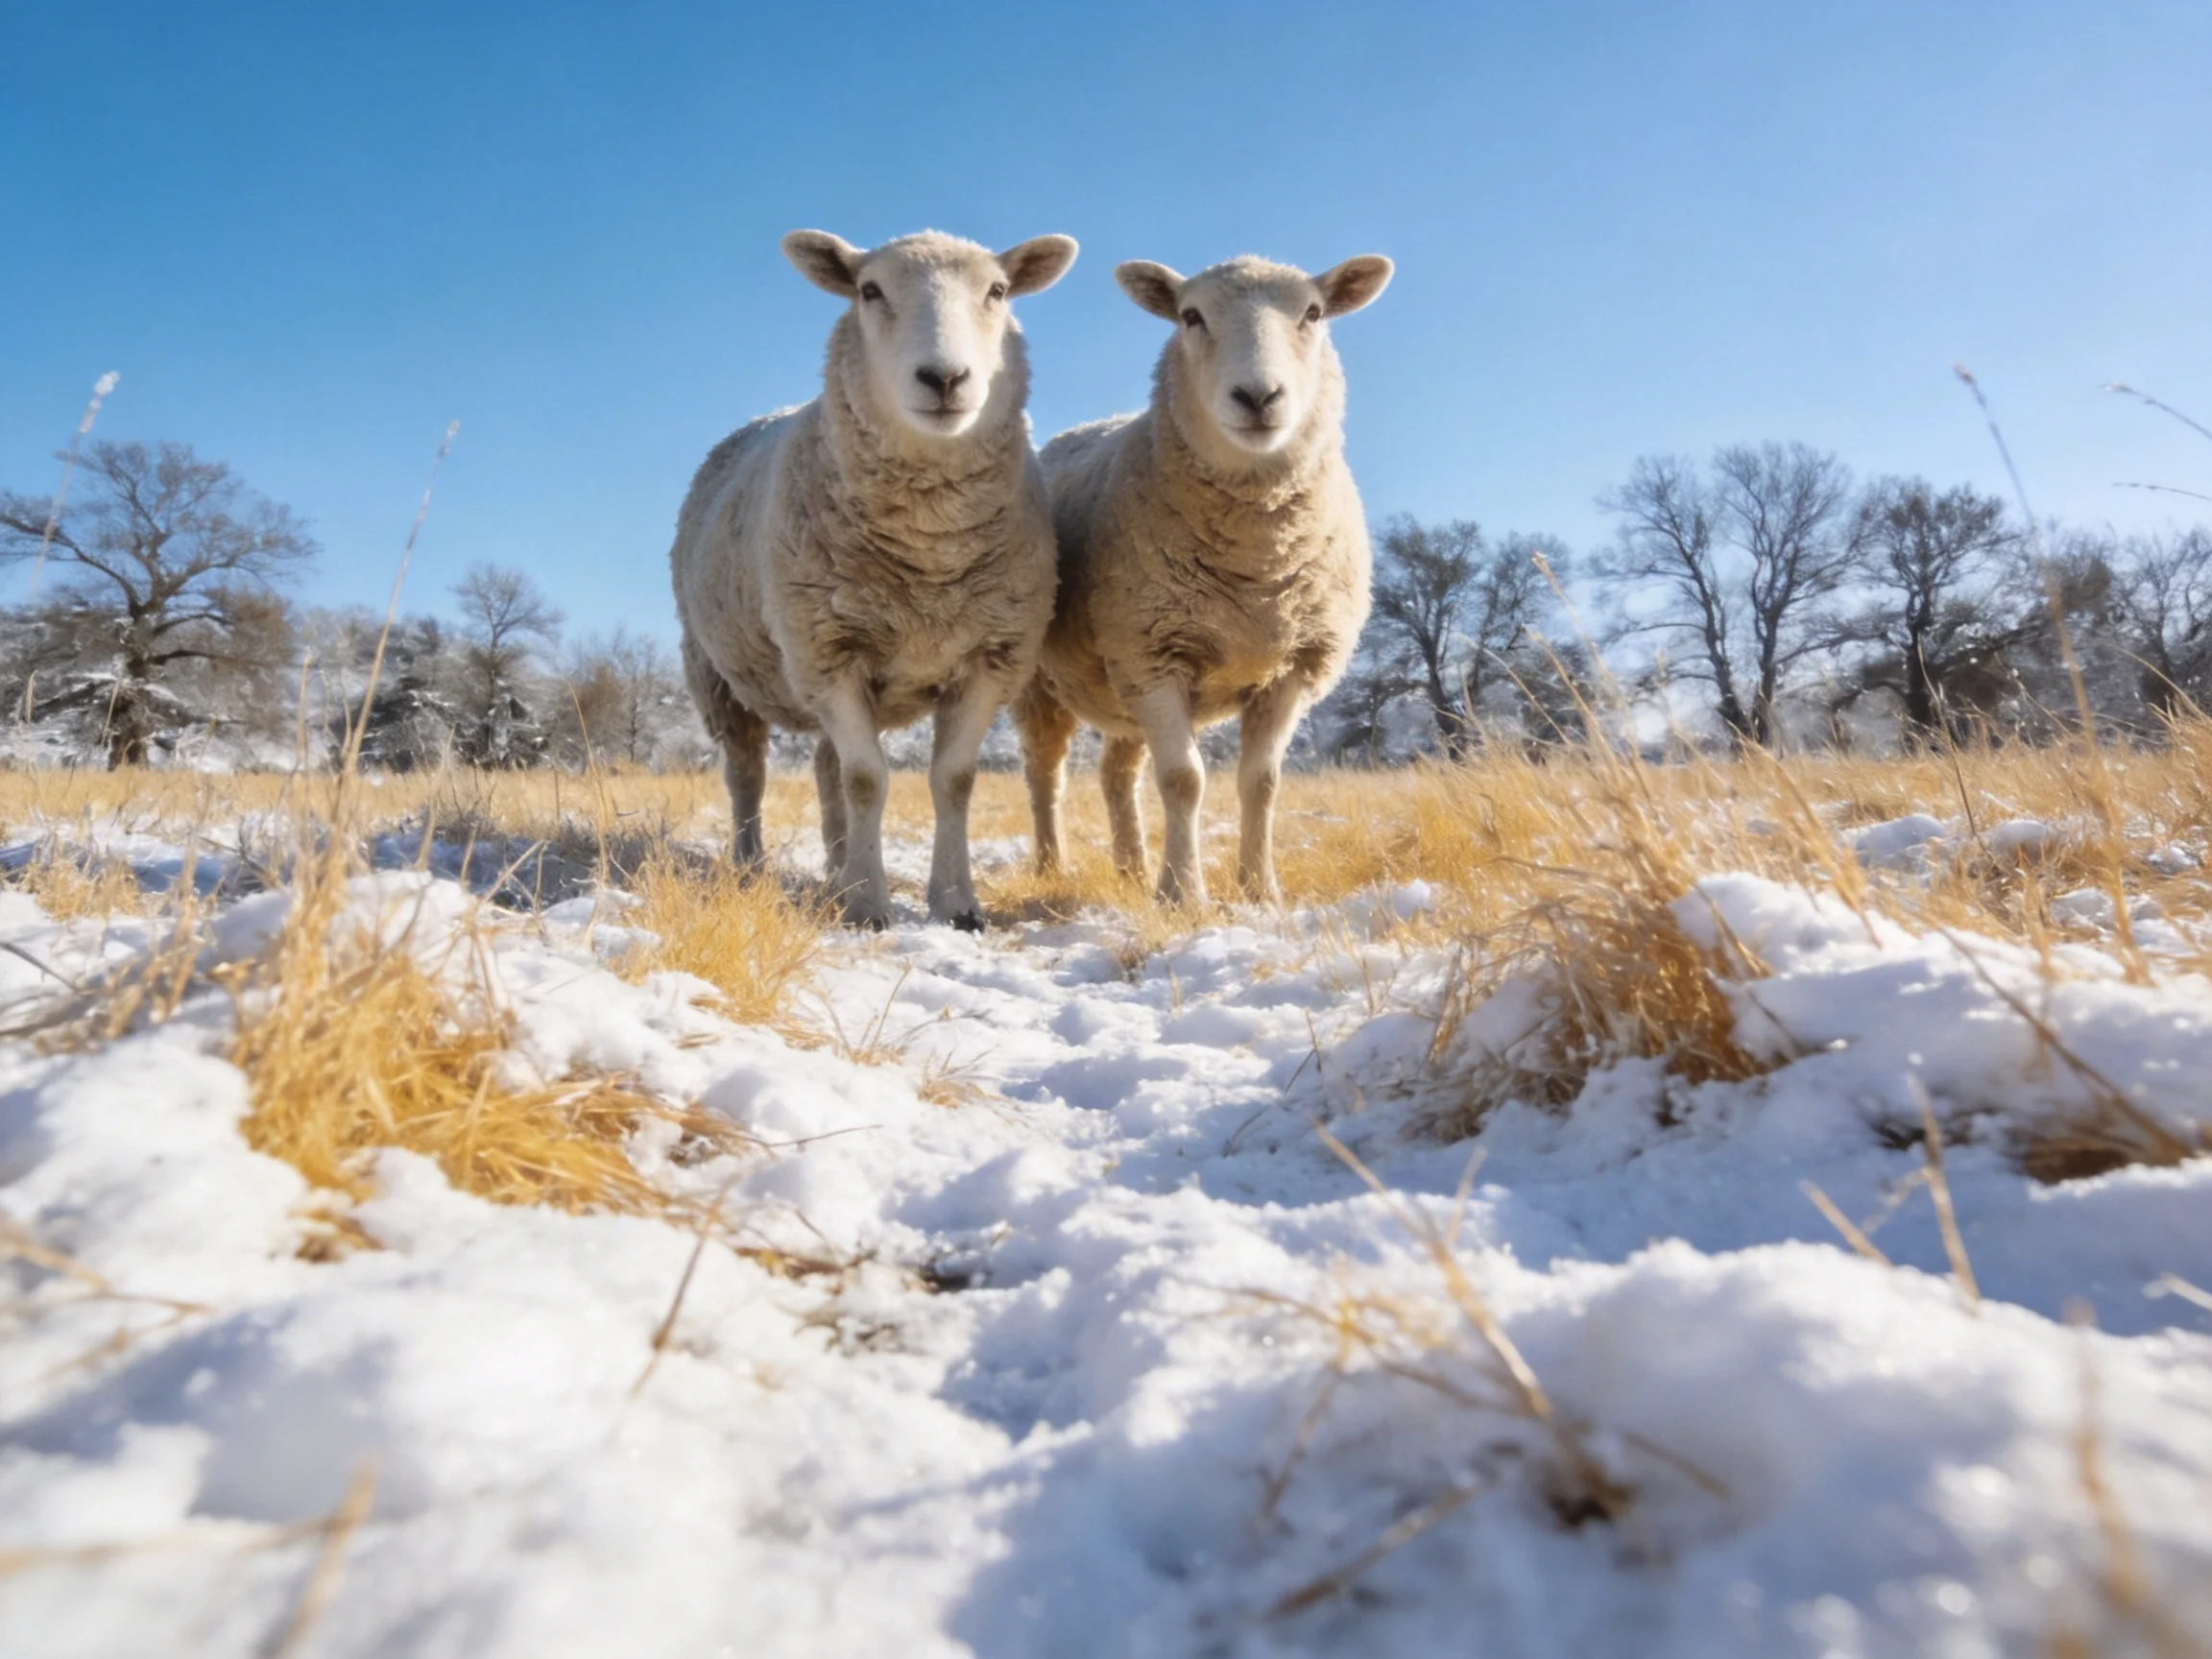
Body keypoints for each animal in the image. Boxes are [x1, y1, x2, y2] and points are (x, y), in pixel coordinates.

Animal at [671, 228, 1078, 929]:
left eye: (997, 291)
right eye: (869, 290)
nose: (945, 377)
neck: (931, 545)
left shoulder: (989, 658)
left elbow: (952, 780)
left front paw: (956, 904)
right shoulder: (828, 652)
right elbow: (869, 780)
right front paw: (867, 906)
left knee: (825, 767)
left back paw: (837, 868)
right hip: (716, 672)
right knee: (747, 774)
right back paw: (752, 869)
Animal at [1016, 252, 1394, 906]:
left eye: (1314, 313)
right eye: (1190, 316)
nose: (1259, 396)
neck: (1256, 573)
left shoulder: (1290, 668)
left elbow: (1261, 782)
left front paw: (1259, 889)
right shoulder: (1154, 657)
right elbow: (1183, 780)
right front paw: (1182, 892)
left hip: (1122, 684)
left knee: (1116, 774)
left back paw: (1131, 869)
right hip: (1046, 681)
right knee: (1045, 773)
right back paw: (1051, 866)